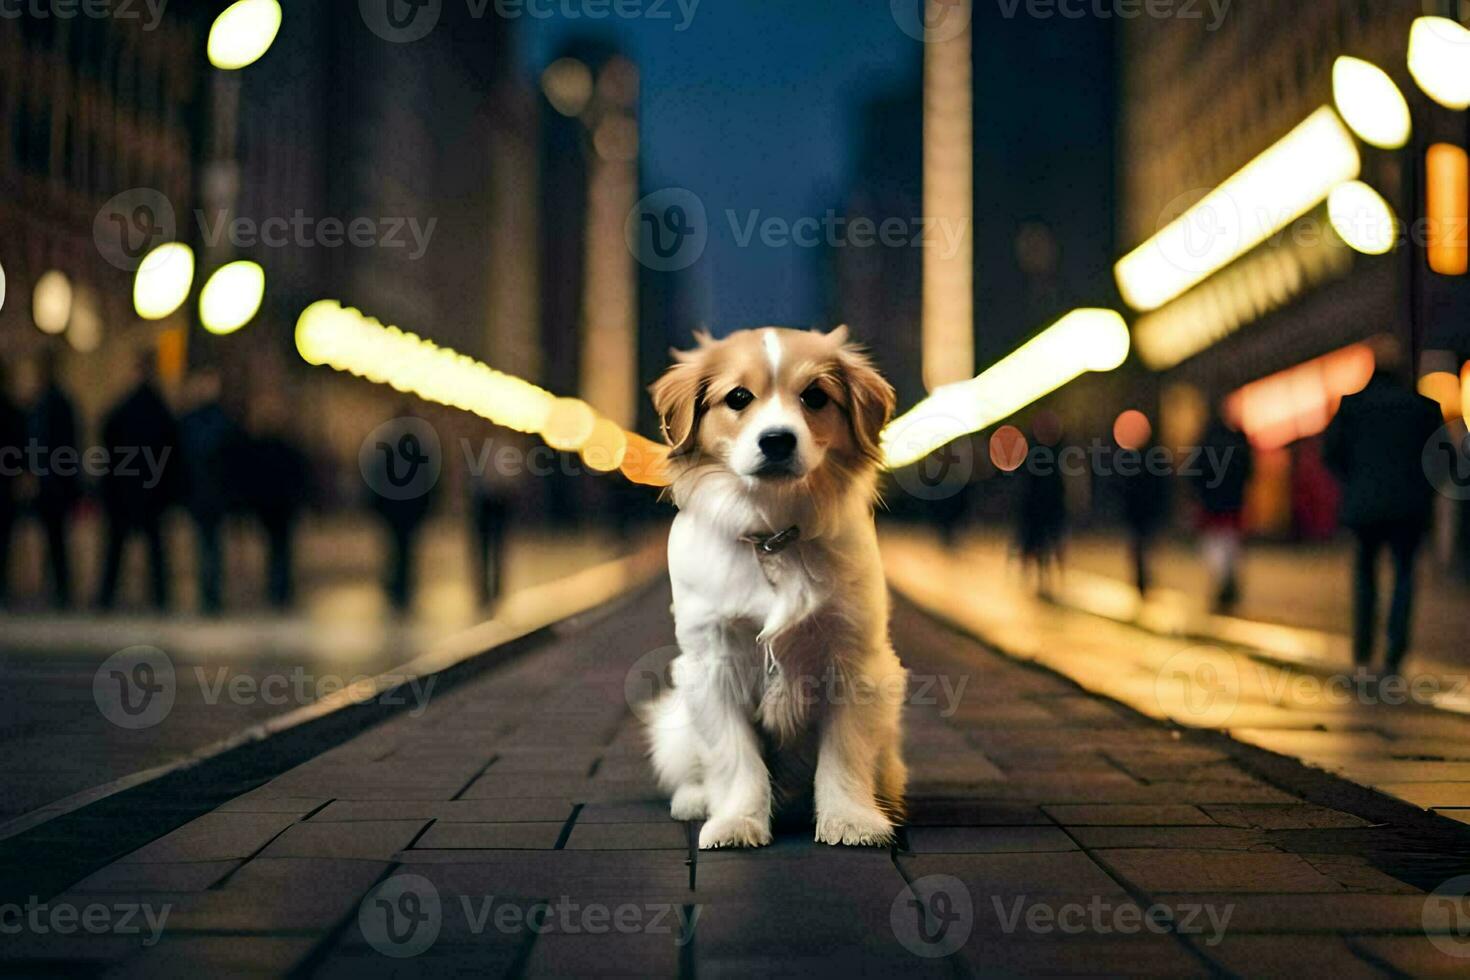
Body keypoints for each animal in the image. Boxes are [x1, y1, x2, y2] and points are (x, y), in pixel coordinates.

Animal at [646, 326, 905, 846]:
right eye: (738, 397)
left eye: (815, 396)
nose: (778, 440)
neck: (773, 535)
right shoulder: (712, 665)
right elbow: (735, 759)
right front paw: (736, 821)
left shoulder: (856, 663)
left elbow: (844, 754)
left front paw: (851, 819)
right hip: (674, 726)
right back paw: (695, 800)